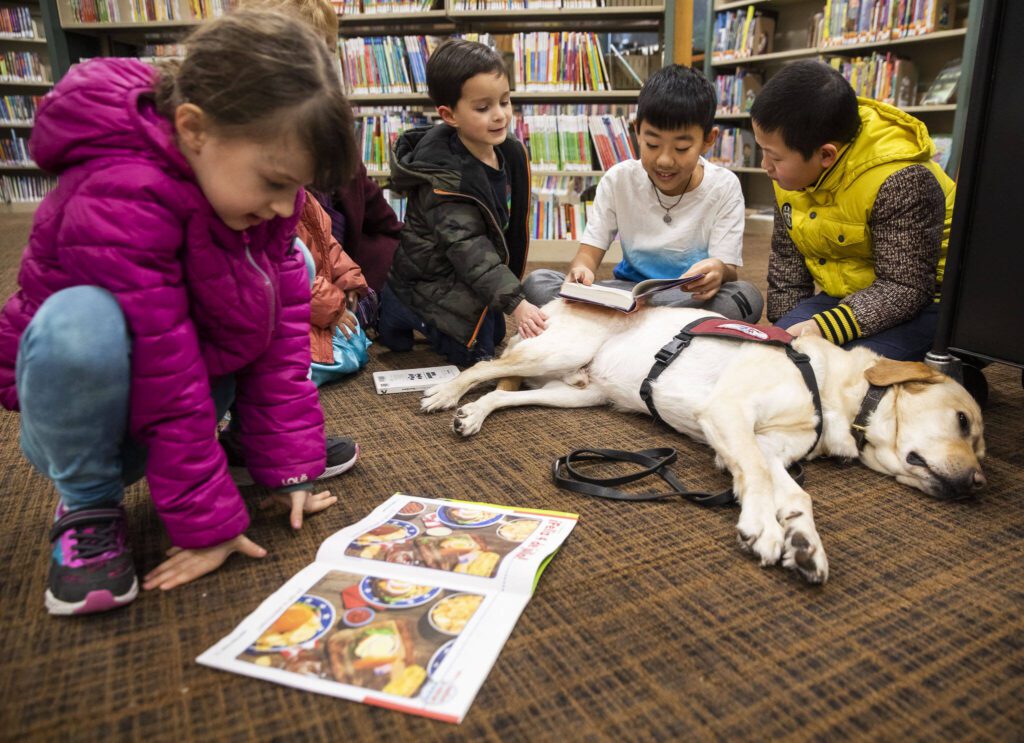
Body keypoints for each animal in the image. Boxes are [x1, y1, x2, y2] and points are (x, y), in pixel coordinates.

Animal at [419, 298, 987, 585]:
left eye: (980, 444)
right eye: (963, 422)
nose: (979, 484)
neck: (831, 392)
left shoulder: (771, 448)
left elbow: (795, 494)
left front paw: (804, 542)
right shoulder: (729, 415)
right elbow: (754, 477)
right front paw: (763, 528)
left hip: (576, 394)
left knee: (507, 394)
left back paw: (474, 413)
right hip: (556, 351)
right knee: (486, 367)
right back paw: (447, 392)